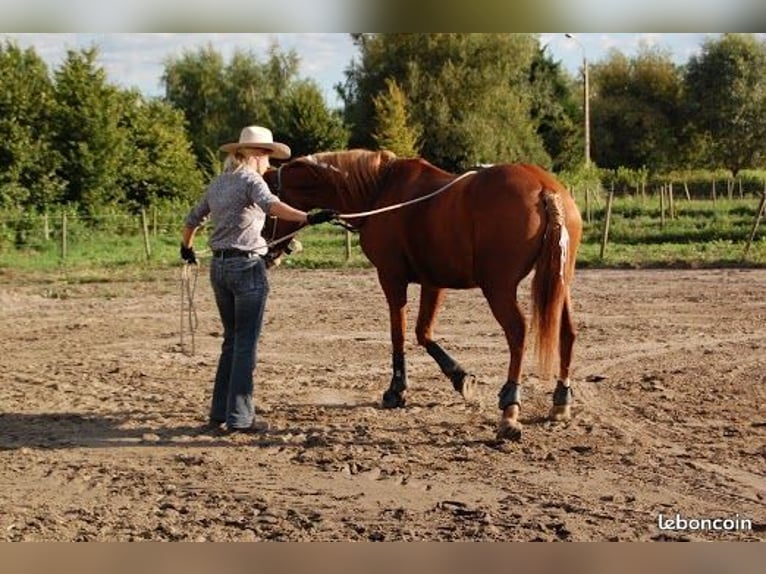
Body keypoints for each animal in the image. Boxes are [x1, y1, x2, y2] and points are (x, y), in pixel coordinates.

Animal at [264, 151, 584, 444]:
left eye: (268, 205)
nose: (268, 250)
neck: (379, 191)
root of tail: (544, 188)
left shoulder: (391, 278)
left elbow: (399, 334)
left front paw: (396, 390)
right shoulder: (433, 282)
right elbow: (423, 332)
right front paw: (460, 377)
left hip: (499, 288)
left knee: (517, 332)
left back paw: (509, 411)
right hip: (560, 282)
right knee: (567, 333)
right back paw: (561, 401)